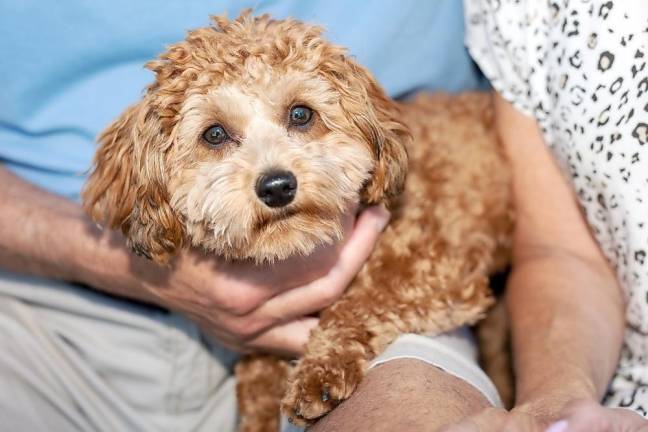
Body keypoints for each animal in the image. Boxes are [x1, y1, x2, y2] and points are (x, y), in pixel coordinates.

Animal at [83, 11, 512, 430]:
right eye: (214, 134)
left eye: (301, 114)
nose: (276, 187)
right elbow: (255, 377)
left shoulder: (435, 273)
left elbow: (359, 303)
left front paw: (318, 374)